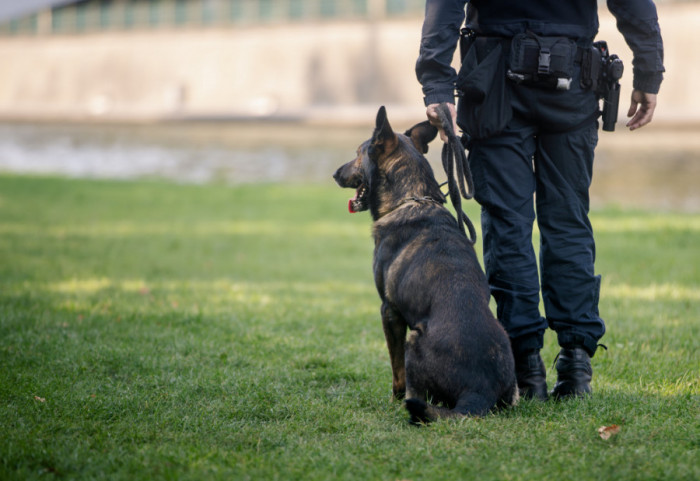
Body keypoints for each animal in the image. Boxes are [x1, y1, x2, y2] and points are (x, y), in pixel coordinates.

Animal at [330, 107, 516, 422]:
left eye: (358, 153)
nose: (334, 174)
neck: (411, 198)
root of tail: (480, 390)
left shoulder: (389, 311)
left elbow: (396, 372)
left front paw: (392, 400)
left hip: (413, 340)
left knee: (416, 392)